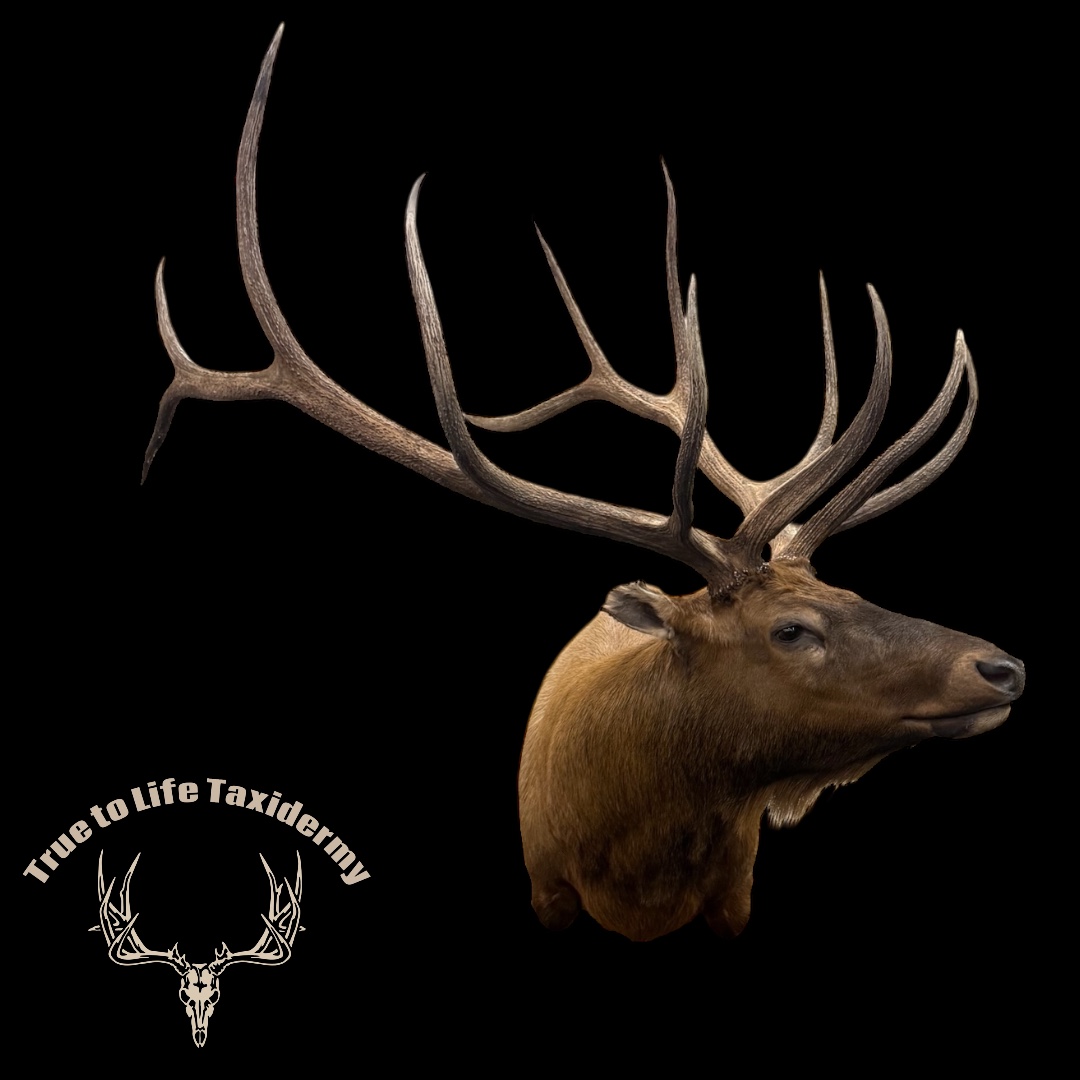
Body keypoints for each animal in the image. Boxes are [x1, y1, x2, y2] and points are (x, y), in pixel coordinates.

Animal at [143, 26, 1024, 943]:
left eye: (854, 589)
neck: (635, 866)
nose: (1001, 667)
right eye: (792, 629)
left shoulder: (734, 896)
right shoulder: (546, 889)